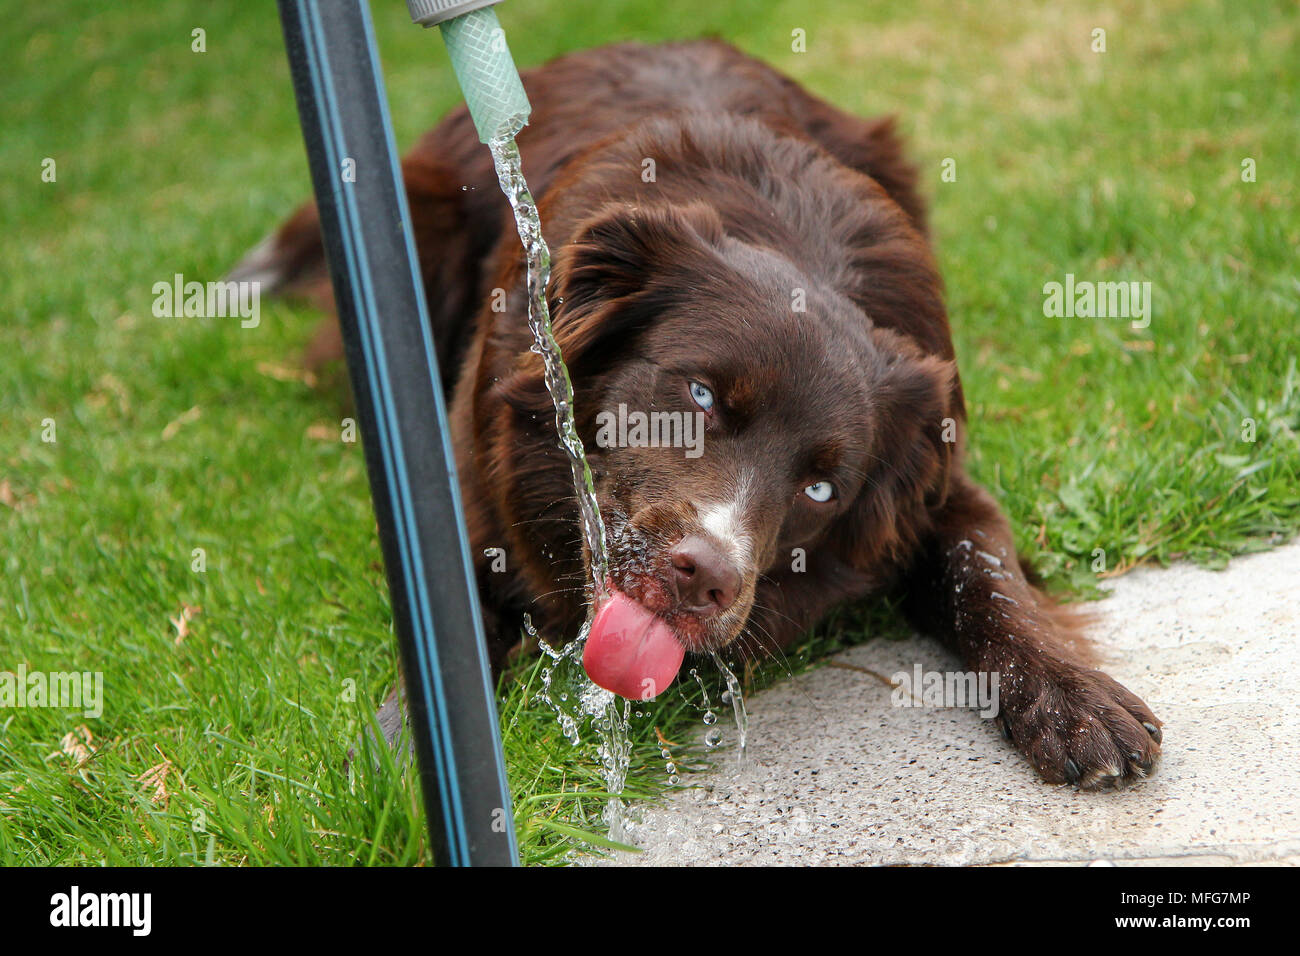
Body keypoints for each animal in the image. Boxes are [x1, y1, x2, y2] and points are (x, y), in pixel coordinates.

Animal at [236, 39, 1170, 785]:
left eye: (823, 490)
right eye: (699, 396)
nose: (705, 577)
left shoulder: (939, 486)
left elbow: (986, 575)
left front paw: (1073, 699)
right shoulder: (473, 501)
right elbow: (445, 640)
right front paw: (399, 765)